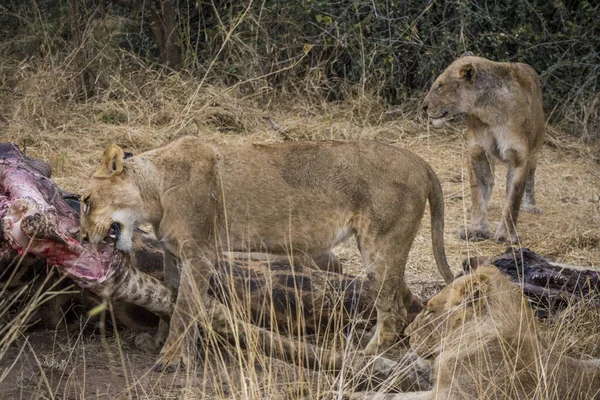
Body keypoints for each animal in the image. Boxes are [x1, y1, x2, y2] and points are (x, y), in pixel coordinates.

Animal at [78, 138, 454, 372]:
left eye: (86, 200)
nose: (81, 236)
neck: (154, 193)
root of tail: (421, 162)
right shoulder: (174, 255)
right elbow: (170, 301)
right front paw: (159, 341)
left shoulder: (200, 253)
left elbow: (185, 308)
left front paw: (172, 359)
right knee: (402, 300)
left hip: (381, 247)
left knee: (392, 311)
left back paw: (364, 356)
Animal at [422, 52, 544, 241]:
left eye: (440, 86)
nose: (424, 106)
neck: (489, 111)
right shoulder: (477, 152)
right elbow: (478, 192)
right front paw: (477, 230)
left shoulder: (519, 157)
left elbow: (513, 197)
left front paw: (506, 235)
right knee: (490, 182)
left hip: (535, 151)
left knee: (530, 177)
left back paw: (531, 206)